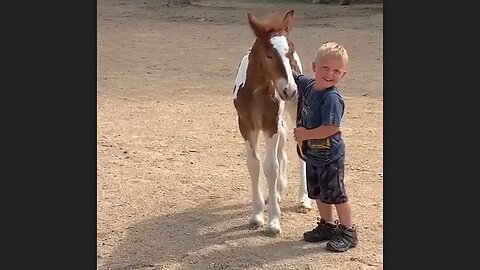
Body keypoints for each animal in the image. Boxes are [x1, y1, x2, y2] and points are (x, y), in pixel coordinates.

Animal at [232, 9, 312, 235]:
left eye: (290, 52)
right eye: (269, 54)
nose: (290, 89)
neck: (256, 93)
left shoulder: (270, 124)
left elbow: (271, 166)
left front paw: (274, 221)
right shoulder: (246, 125)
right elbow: (254, 164)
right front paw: (257, 215)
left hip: (294, 111)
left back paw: (303, 200)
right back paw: (276, 192)